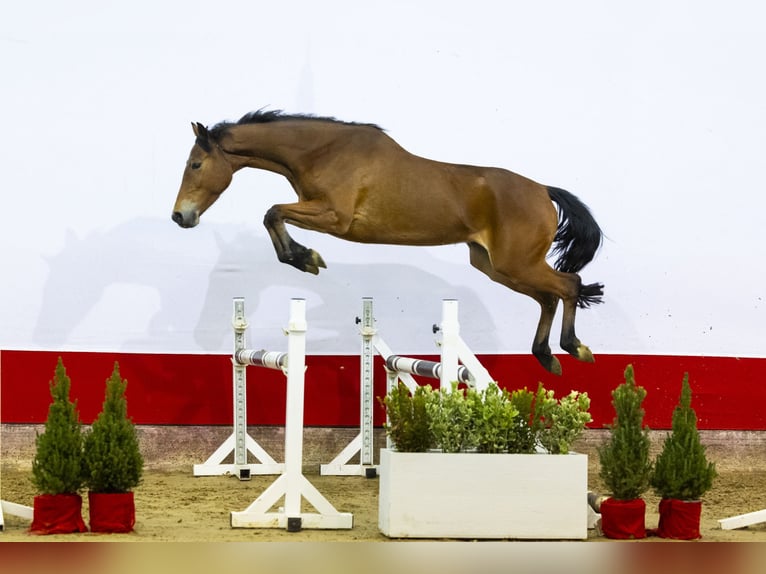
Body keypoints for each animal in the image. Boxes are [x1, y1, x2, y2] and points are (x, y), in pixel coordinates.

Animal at [172, 110, 608, 376]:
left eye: (196, 164)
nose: (181, 216)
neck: (322, 151)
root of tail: (542, 190)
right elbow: (273, 215)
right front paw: (304, 258)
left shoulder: (335, 217)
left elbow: (273, 212)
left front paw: (306, 257)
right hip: (495, 266)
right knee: (549, 296)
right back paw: (547, 356)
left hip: (516, 264)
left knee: (568, 286)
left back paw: (573, 348)